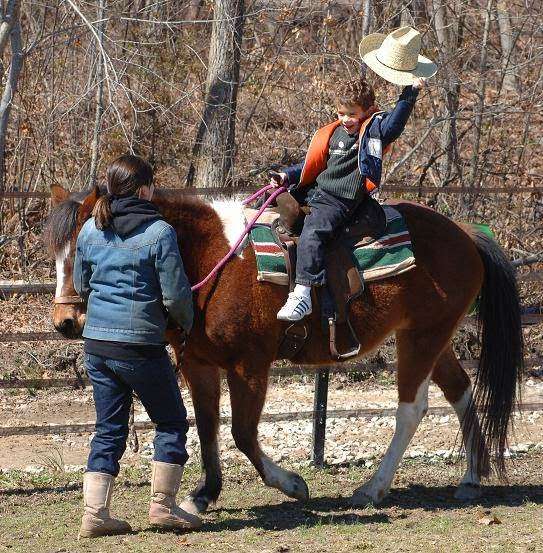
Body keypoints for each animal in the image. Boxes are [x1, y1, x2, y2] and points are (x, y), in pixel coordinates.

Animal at [47, 183, 528, 512]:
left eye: (86, 252)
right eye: (57, 255)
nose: (65, 323)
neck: (210, 259)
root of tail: (464, 233)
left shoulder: (250, 366)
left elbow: (242, 433)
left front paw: (292, 484)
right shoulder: (198, 364)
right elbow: (208, 427)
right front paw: (204, 495)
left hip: (421, 339)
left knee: (412, 409)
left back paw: (373, 488)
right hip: (433, 337)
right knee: (461, 391)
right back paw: (471, 477)